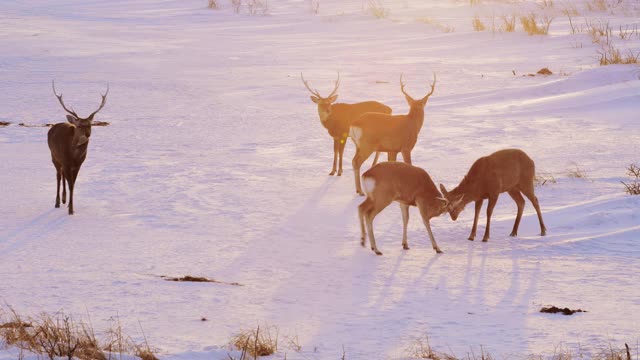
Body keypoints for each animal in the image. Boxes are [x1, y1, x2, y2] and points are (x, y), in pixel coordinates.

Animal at [48, 80, 109, 215]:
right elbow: (70, 183)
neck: (74, 155)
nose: (87, 134)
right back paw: (57, 202)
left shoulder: (78, 164)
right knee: (58, 176)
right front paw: (71, 209)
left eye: (90, 125)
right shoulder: (65, 161)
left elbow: (73, 184)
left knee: (63, 176)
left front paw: (70, 206)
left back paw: (64, 200)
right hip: (54, 156)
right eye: (80, 125)